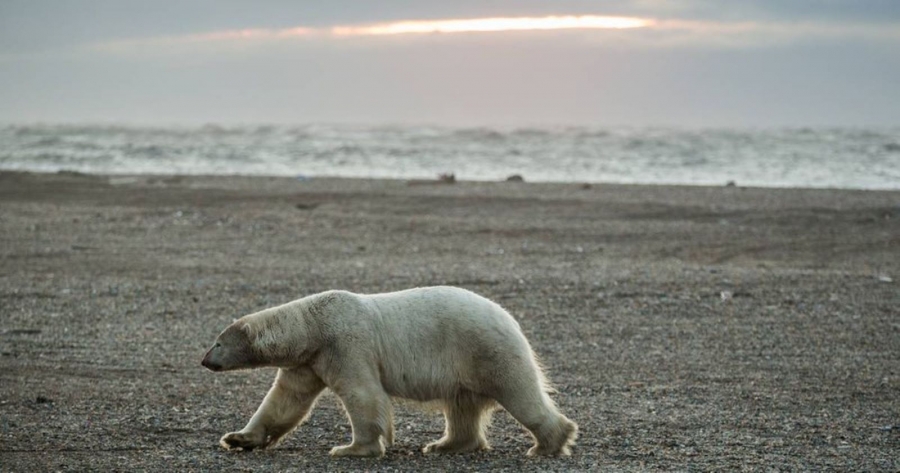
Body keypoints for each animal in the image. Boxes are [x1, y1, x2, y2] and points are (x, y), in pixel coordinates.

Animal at [200, 286, 576, 456]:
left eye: (217, 342)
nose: (204, 360)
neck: (313, 325)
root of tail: (509, 318)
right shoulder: (309, 362)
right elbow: (284, 401)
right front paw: (238, 438)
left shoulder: (345, 345)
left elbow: (363, 394)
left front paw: (351, 449)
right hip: (467, 365)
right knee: (462, 407)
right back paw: (443, 445)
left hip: (485, 349)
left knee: (519, 392)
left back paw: (548, 443)